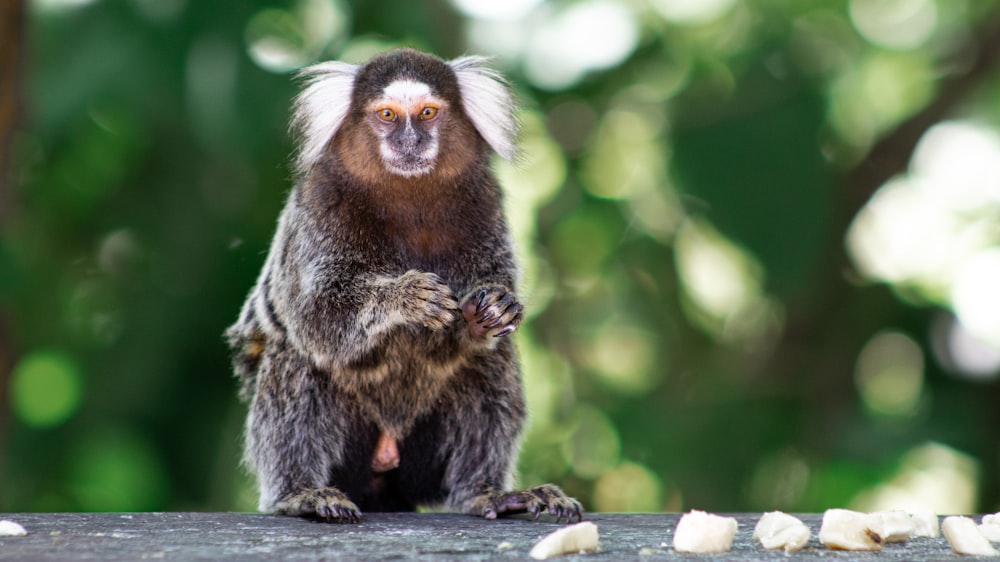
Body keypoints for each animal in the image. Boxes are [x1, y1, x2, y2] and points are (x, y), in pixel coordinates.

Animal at [228, 47, 584, 520]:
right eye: (387, 115)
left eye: (427, 113)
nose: (410, 141)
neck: (408, 199)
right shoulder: (320, 207)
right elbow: (317, 319)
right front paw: (405, 297)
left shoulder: (486, 202)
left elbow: (474, 330)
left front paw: (490, 311)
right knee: (297, 356)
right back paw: (299, 493)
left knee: (489, 362)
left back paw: (487, 492)